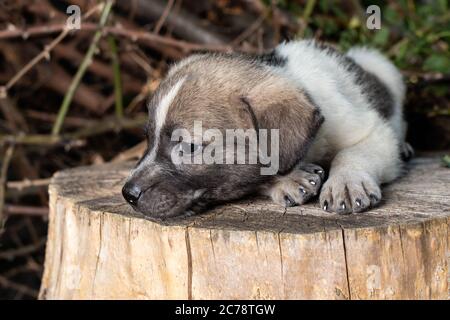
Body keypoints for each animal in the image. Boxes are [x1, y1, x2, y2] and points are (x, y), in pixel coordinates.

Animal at [122, 39, 412, 220]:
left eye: (189, 147)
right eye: (148, 138)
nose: (128, 194)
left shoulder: (372, 131)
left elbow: (353, 154)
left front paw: (347, 182)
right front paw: (288, 179)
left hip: (385, 69)